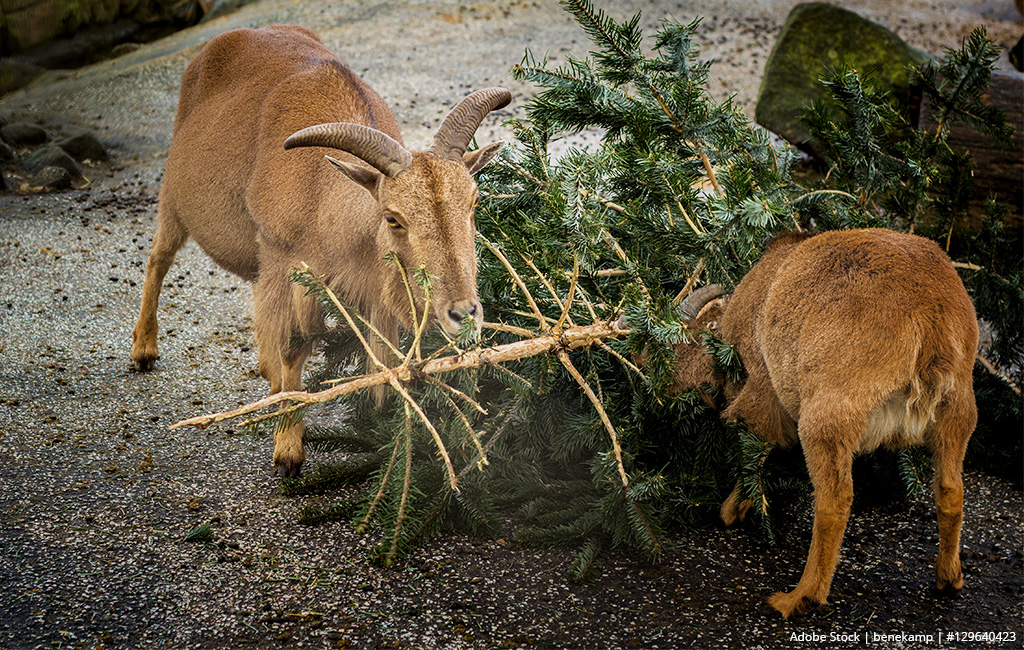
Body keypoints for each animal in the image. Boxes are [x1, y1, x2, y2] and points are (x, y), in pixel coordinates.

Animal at [630, 230, 974, 622]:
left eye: (670, 348)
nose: (641, 373)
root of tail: (933, 319)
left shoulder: (761, 392)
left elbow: (755, 452)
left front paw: (733, 510)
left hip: (826, 417)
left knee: (834, 500)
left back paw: (798, 597)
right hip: (958, 410)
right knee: (950, 488)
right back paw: (948, 578)